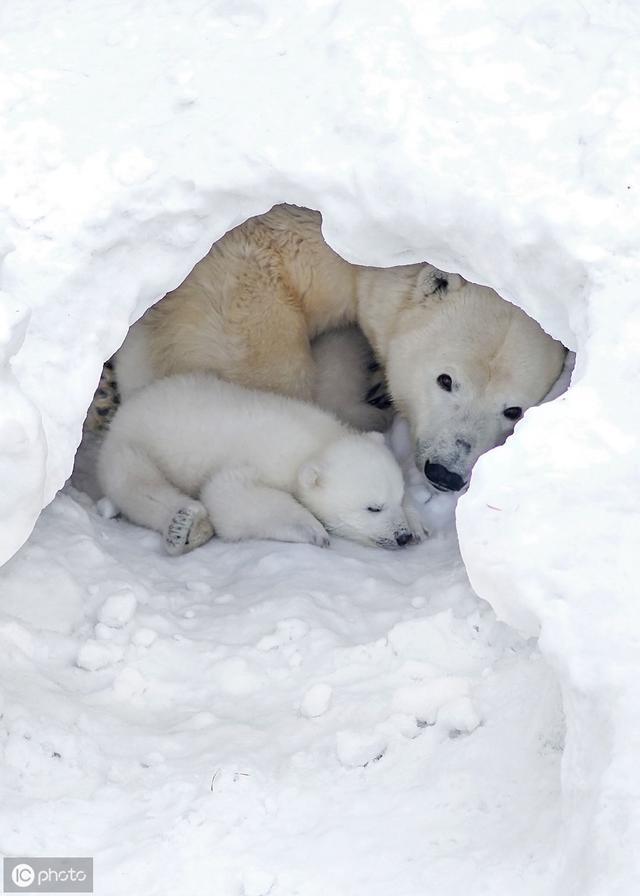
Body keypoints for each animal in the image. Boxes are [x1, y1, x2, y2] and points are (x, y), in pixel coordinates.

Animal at [96, 372, 420, 552]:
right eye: (373, 508)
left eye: (399, 497)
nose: (402, 537)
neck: (315, 441)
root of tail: (127, 408)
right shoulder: (262, 461)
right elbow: (227, 496)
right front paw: (312, 530)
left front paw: (419, 525)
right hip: (133, 443)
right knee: (136, 483)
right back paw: (187, 525)